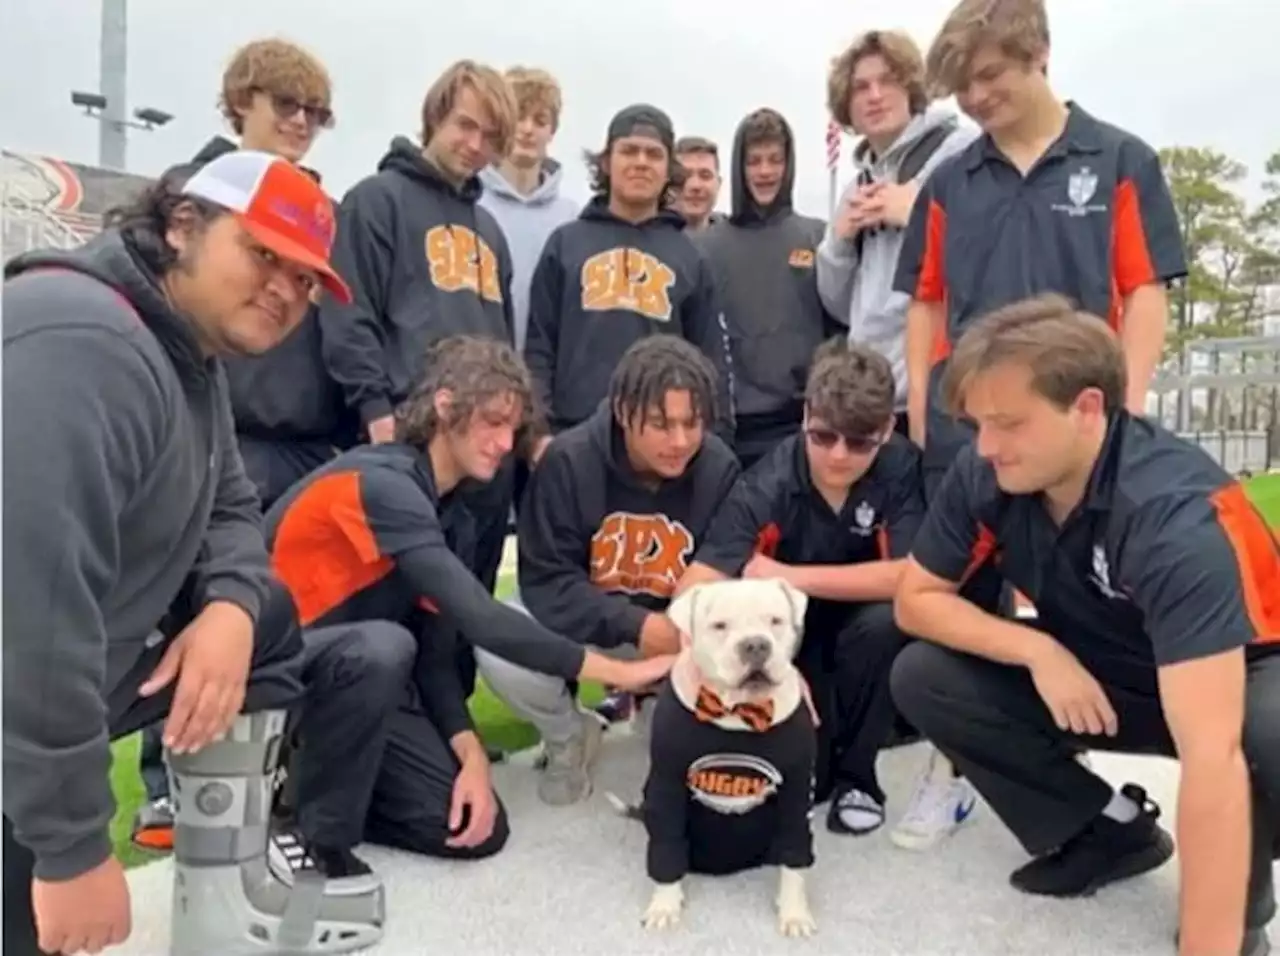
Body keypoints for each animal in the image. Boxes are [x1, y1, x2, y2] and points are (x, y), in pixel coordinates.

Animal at [611, 578, 819, 936]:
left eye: (775, 621)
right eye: (720, 626)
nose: (755, 645)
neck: (737, 710)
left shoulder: (796, 789)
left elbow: (795, 855)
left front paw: (794, 913)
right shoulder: (667, 786)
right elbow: (667, 847)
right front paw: (664, 905)